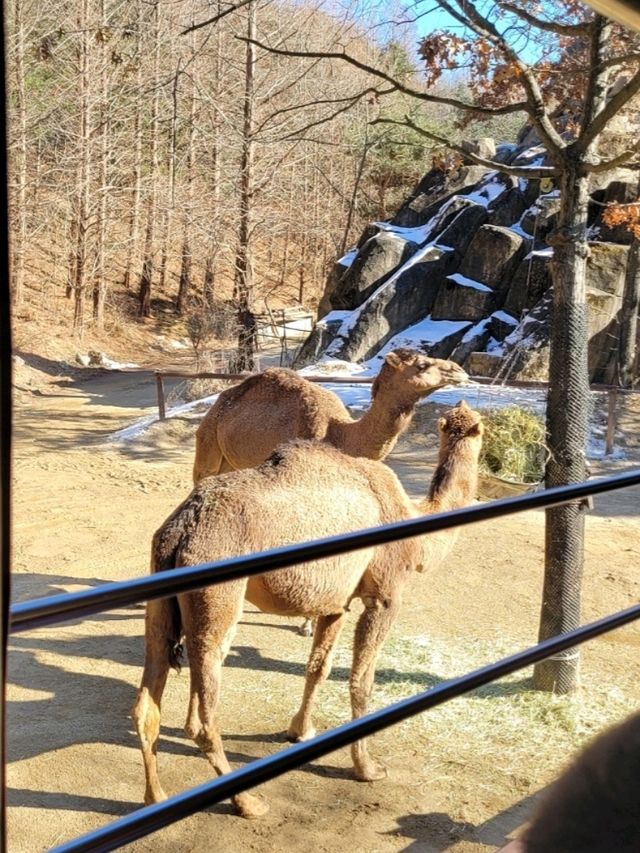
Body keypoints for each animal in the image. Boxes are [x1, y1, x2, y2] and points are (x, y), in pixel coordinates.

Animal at [131, 402, 480, 820]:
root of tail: (180, 530)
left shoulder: (336, 602)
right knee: (201, 711)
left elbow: (318, 668)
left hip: (159, 592)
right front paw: (367, 768)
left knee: (147, 703)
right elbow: (362, 680)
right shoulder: (384, 595)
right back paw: (247, 802)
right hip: (217, 597)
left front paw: (300, 731)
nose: (463, 410)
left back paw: (155, 798)